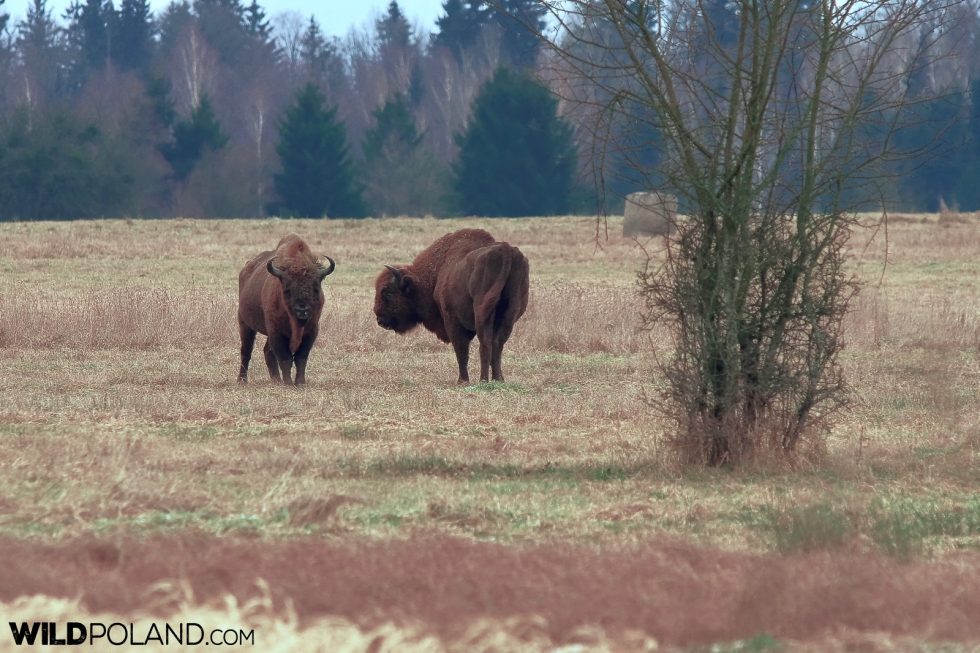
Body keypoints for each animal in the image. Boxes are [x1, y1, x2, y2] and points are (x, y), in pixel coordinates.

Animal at [237, 234, 336, 384]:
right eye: (287, 289)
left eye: (316, 288)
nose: (302, 310)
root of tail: (246, 269)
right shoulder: (276, 331)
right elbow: (285, 358)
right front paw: (289, 383)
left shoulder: (311, 331)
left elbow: (301, 358)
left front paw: (300, 383)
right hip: (245, 323)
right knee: (246, 350)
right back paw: (242, 380)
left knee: (267, 351)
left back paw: (276, 379)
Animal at [374, 228, 528, 384]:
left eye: (387, 292)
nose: (380, 319)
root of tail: (505, 252)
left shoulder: (452, 320)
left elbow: (461, 350)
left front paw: (462, 381)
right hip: (509, 314)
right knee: (497, 344)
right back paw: (498, 379)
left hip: (482, 314)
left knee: (484, 345)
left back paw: (483, 380)